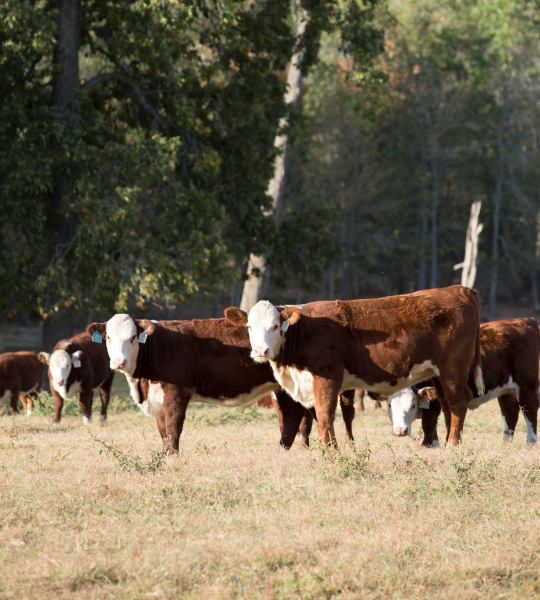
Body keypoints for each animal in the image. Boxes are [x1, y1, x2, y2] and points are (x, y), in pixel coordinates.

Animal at [87, 314, 358, 450]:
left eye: (133, 338)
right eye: (108, 337)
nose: (119, 362)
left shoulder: (176, 394)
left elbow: (173, 429)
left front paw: (171, 458)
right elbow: (163, 432)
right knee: (292, 417)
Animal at [226, 284, 484, 446]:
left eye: (275, 326)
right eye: (249, 327)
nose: (261, 351)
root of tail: (459, 289)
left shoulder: (327, 378)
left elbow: (325, 416)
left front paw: (331, 451)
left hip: (453, 368)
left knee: (458, 401)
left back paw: (454, 443)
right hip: (438, 373)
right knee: (447, 404)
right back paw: (450, 441)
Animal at [388, 318, 540, 446]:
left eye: (413, 405)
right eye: (389, 405)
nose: (401, 430)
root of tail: (526, 320)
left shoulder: (435, 400)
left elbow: (429, 423)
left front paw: (429, 444)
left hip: (527, 384)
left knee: (529, 408)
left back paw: (531, 441)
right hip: (505, 388)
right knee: (510, 411)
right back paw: (506, 443)